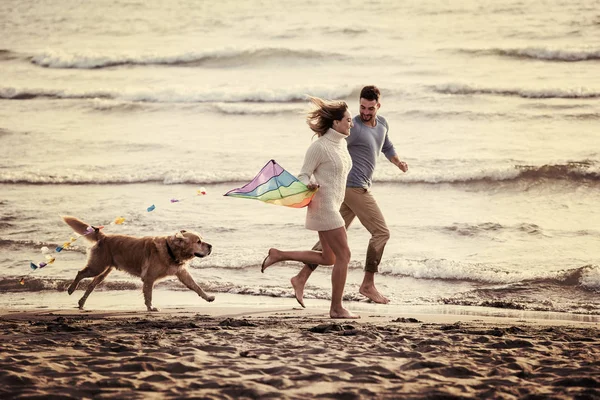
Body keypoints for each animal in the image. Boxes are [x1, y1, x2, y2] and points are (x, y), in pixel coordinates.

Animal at [61, 216, 213, 312]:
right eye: (198, 241)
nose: (211, 246)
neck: (170, 250)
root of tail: (104, 237)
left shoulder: (182, 273)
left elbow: (196, 286)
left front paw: (208, 297)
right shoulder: (149, 277)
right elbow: (149, 294)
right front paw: (150, 308)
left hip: (104, 271)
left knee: (91, 284)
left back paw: (81, 303)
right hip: (97, 266)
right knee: (80, 273)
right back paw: (71, 289)